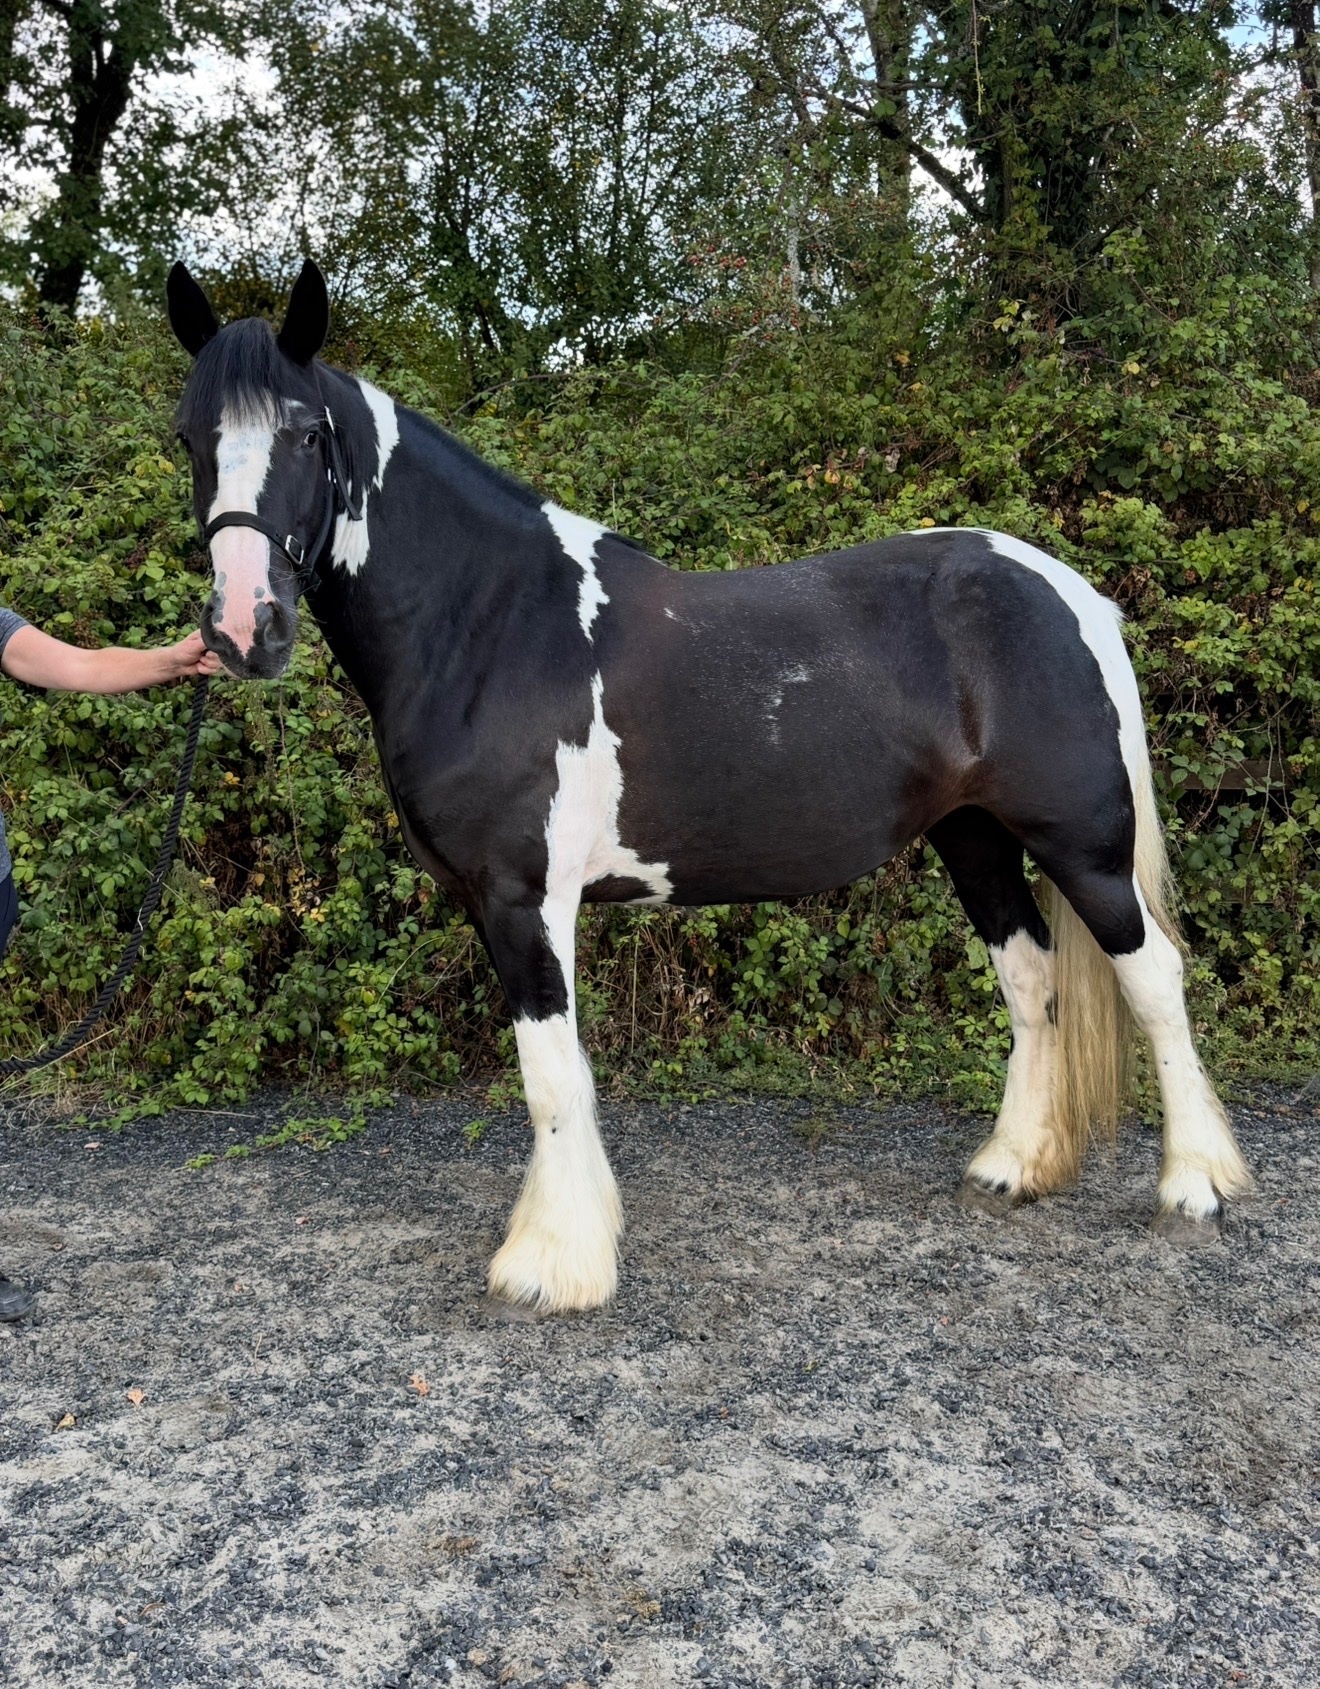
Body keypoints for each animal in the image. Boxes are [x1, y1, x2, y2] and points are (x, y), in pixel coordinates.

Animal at [166, 259, 1251, 1312]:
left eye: (309, 433)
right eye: (188, 436)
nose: (245, 625)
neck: (494, 623)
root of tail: (1068, 591)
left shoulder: (525, 898)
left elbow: (549, 1078)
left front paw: (552, 1266)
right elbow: (560, 1074)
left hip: (1081, 844)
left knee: (1155, 978)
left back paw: (1194, 1185)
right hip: (974, 835)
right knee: (1031, 980)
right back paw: (1011, 1166)